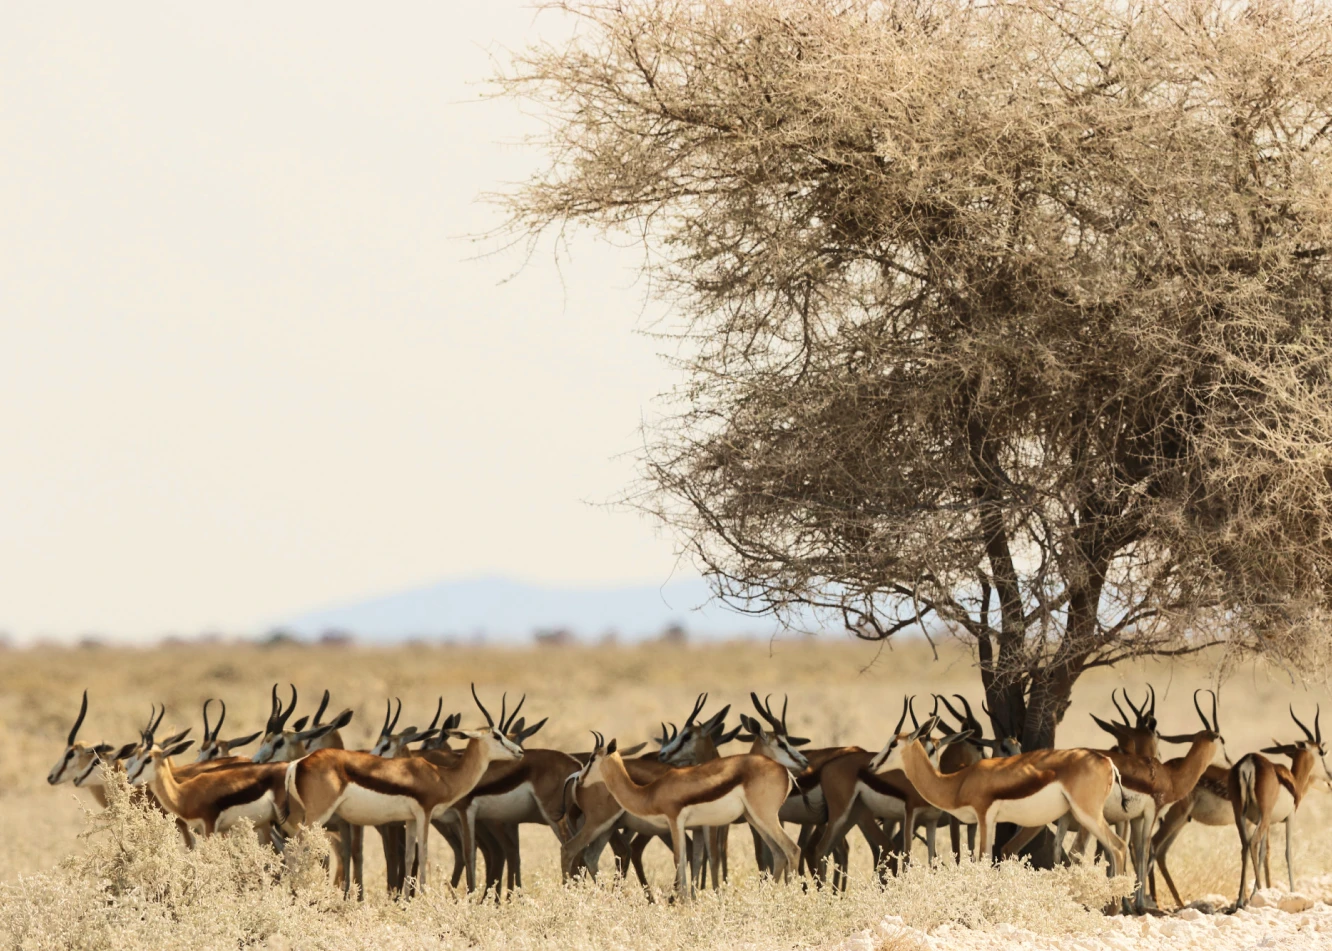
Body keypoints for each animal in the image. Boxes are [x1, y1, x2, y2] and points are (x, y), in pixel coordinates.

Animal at [282, 686, 524, 893]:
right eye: (497, 736)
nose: (520, 752)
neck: (442, 775)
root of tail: (298, 764)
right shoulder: (425, 813)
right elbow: (424, 854)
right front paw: (423, 898)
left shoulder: (410, 819)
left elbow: (408, 857)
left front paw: (407, 898)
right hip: (317, 816)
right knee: (294, 851)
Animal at [576, 731, 804, 899]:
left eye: (592, 758)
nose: (579, 778)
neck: (650, 792)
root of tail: (784, 770)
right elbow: (690, 858)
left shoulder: (675, 821)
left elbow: (680, 858)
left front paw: (683, 901)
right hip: (754, 819)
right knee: (778, 853)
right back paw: (767, 898)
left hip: (765, 817)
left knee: (792, 849)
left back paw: (789, 898)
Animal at [1230, 705, 1332, 909]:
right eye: (1322, 753)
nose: (1330, 777)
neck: (1292, 781)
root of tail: (1249, 761)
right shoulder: (1289, 818)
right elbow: (1287, 852)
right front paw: (1292, 892)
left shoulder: (1267, 823)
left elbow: (1263, 853)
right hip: (1263, 816)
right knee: (1252, 842)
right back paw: (1257, 892)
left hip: (1241, 815)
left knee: (1245, 846)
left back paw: (1241, 900)